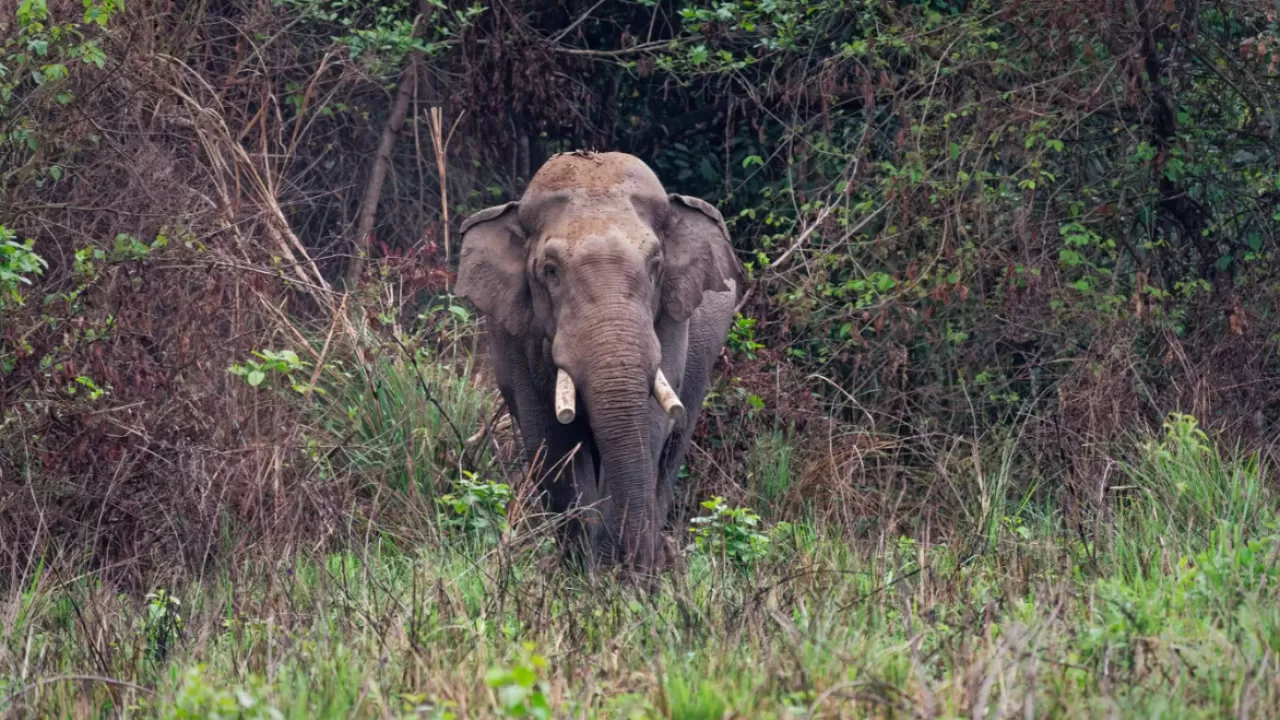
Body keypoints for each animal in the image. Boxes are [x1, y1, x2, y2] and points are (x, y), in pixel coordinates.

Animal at [454, 150, 742, 574]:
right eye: (550, 271)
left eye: (656, 266)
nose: (640, 569)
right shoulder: (514, 332)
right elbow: (549, 435)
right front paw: (583, 570)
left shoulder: (671, 320)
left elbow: (649, 424)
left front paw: (620, 569)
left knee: (673, 445)